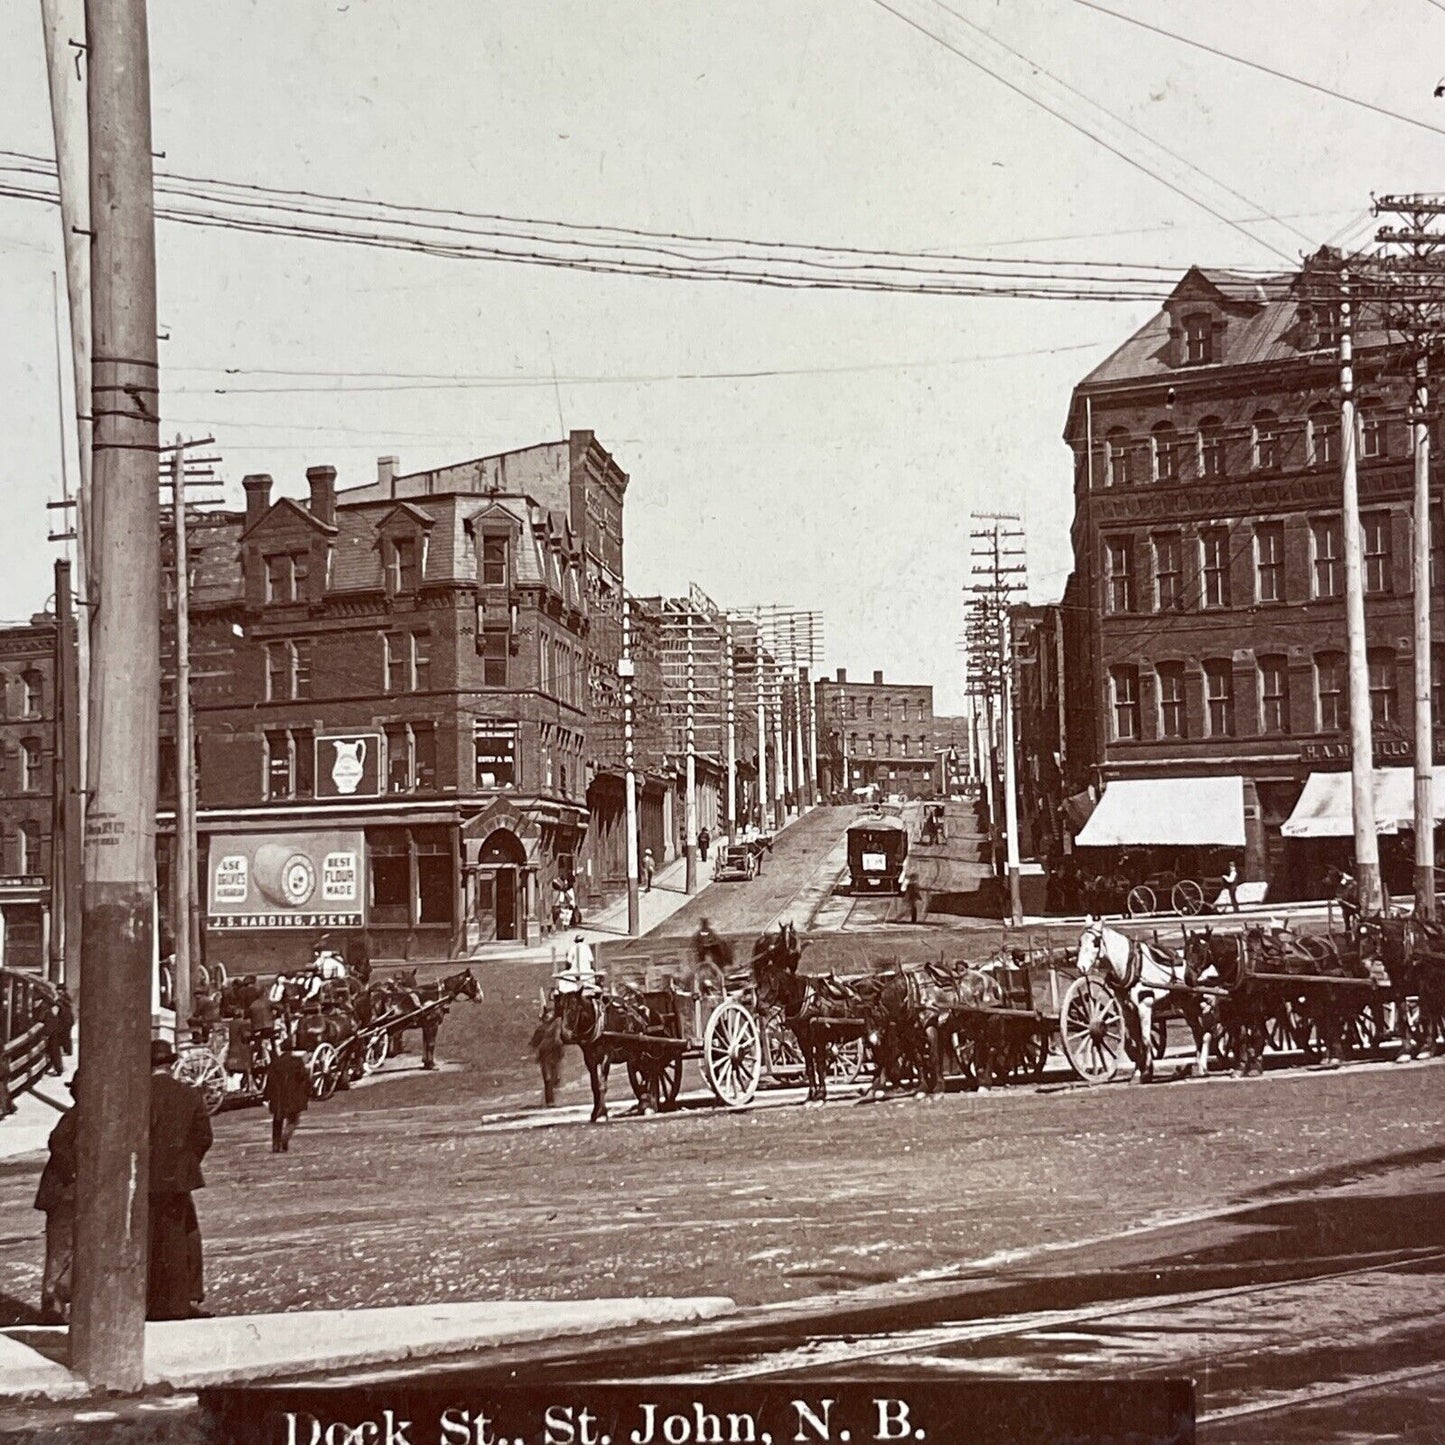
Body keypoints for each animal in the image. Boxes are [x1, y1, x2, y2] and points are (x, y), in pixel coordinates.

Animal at [1080, 913, 1213, 1086]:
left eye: (1095, 943)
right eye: (1080, 941)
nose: (1080, 967)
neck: (1132, 965)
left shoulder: (1145, 1006)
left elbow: (1145, 1040)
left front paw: (1147, 1072)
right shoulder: (1127, 1010)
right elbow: (1136, 1042)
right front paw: (1137, 1073)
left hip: (1202, 1002)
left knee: (1207, 1032)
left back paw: (1204, 1065)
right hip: (1188, 1007)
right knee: (1199, 1033)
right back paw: (1200, 1066)